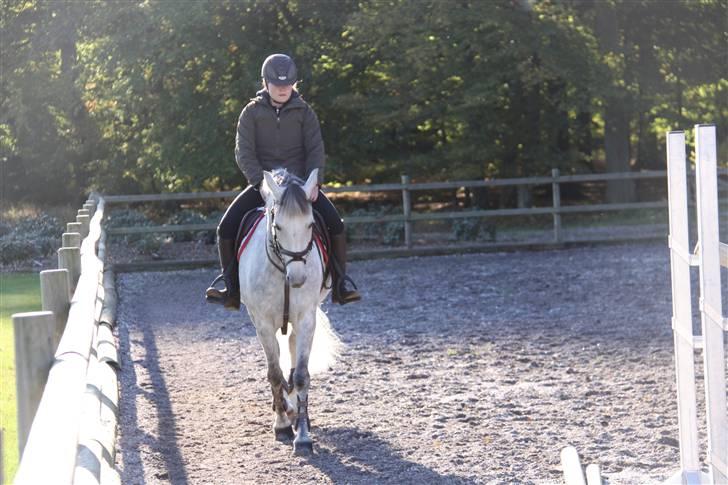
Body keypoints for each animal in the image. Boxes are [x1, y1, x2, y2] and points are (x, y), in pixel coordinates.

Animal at [237, 167, 342, 454]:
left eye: (310, 225)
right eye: (278, 227)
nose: (297, 279)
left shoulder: (306, 318)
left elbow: (302, 375)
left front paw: (303, 436)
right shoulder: (262, 323)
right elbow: (274, 374)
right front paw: (282, 425)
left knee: (293, 353)